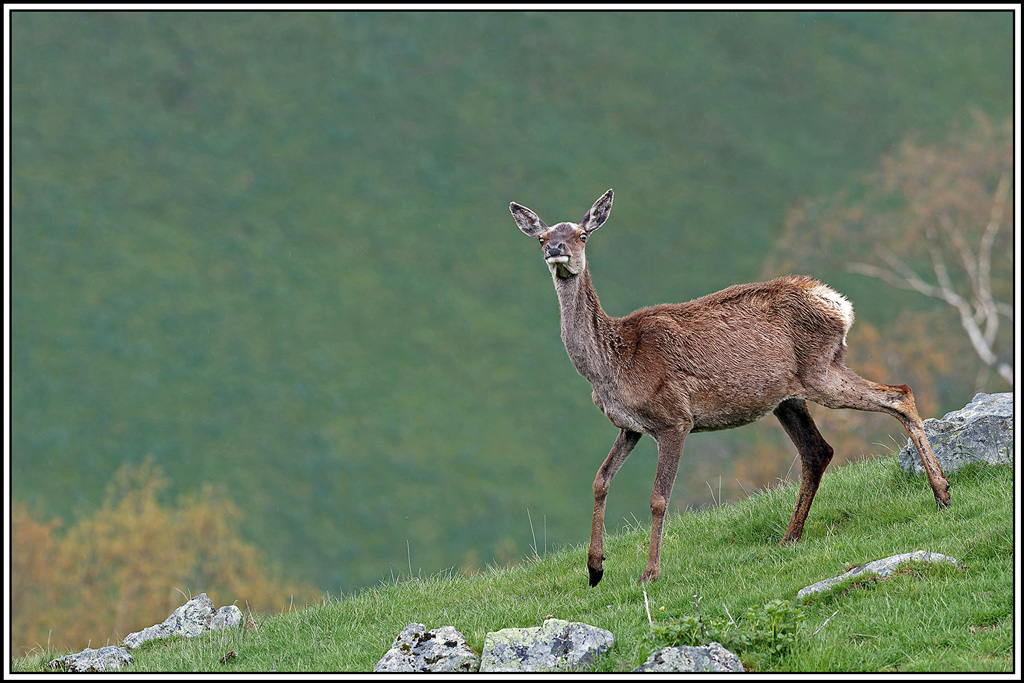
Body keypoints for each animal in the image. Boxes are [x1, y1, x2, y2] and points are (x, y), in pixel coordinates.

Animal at [509, 189, 951, 587]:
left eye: (582, 233)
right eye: (542, 236)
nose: (557, 250)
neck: (613, 365)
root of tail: (839, 304)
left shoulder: (674, 418)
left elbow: (658, 498)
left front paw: (649, 573)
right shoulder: (630, 426)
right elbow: (600, 481)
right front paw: (595, 568)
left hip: (820, 371)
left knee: (899, 394)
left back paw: (942, 493)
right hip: (789, 395)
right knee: (818, 450)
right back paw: (790, 537)